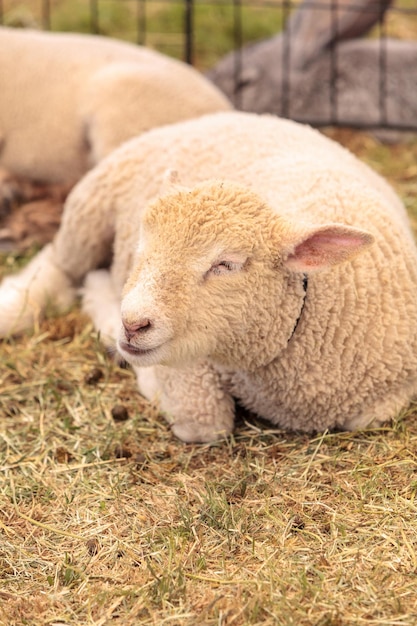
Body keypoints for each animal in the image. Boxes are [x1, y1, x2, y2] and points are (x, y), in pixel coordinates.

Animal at [0, 112, 416, 444]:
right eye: (142, 245)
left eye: (226, 265)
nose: (132, 324)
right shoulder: (192, 366)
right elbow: (203, 419)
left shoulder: (385, 400)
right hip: (89, 206)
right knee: (56, 266)